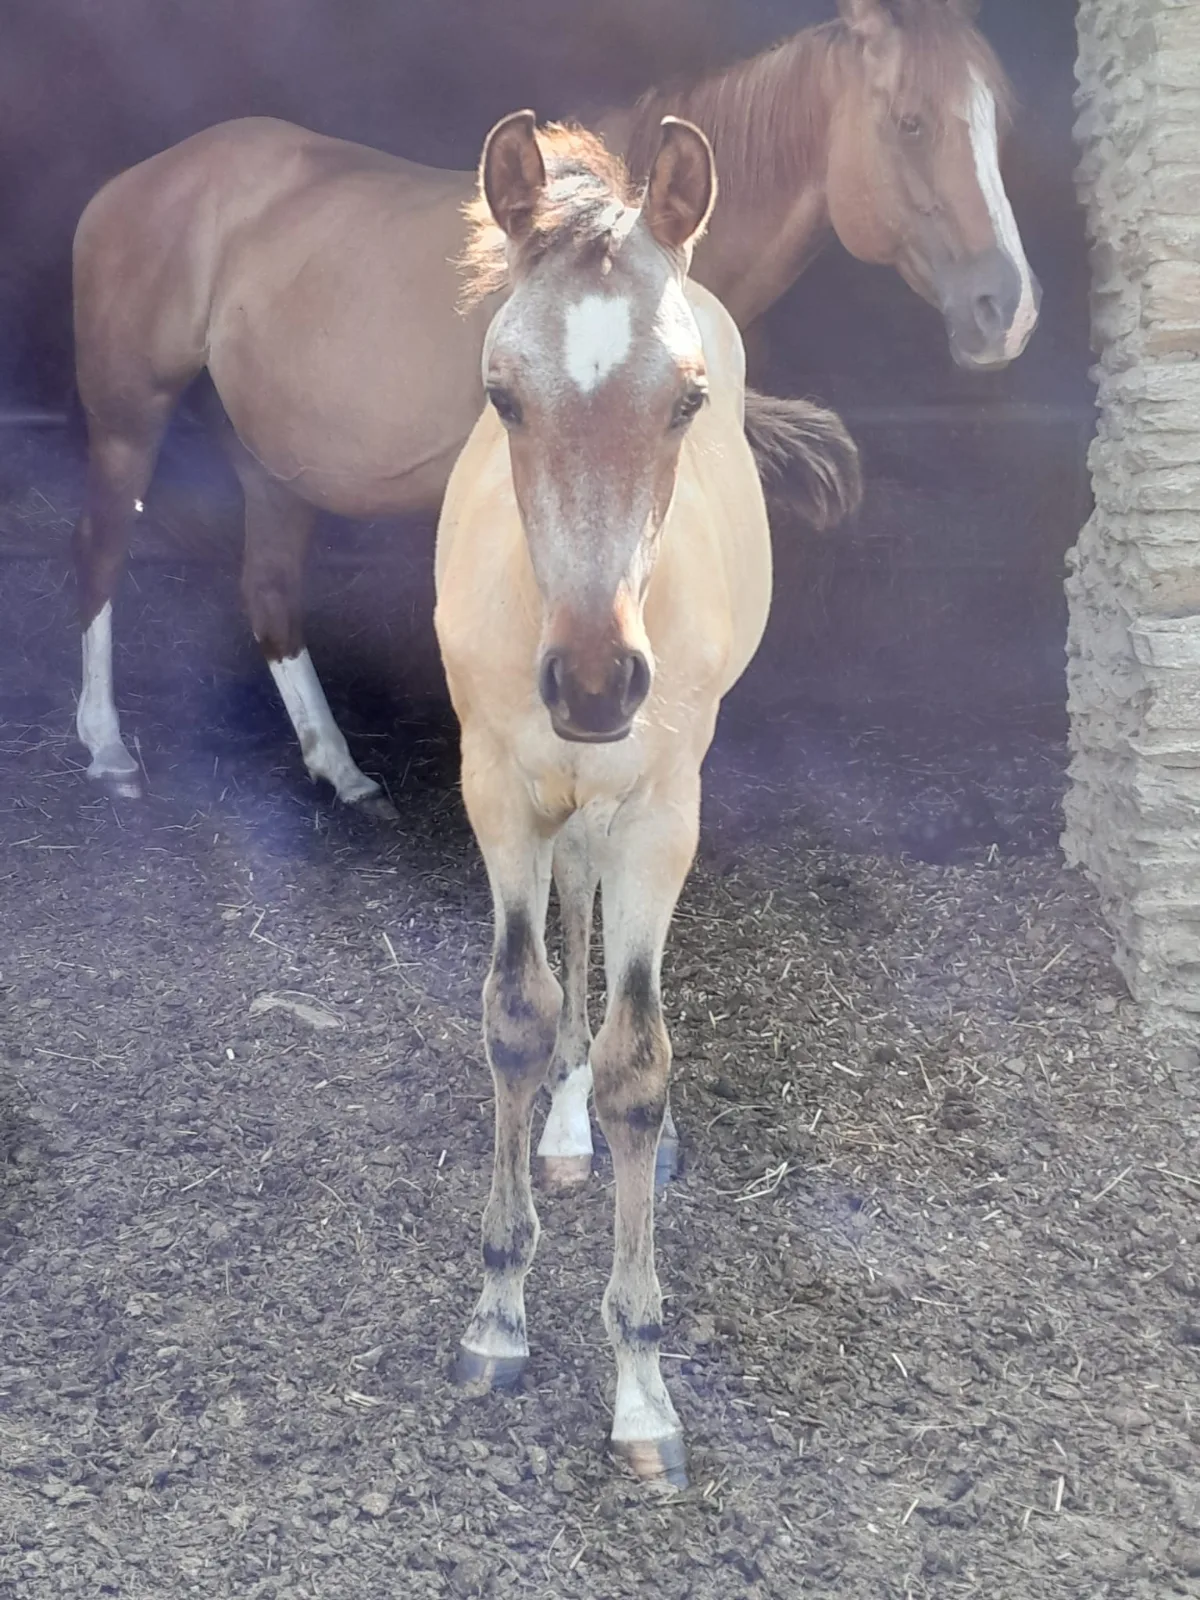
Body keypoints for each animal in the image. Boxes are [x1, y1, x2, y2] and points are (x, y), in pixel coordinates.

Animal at [71, 0, 1032, 815]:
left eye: (1000, 126)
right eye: (911, 121)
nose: (1007, 310)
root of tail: (137, 181)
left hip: (273, 462)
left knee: (269, 597)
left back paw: (341, 770)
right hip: (127, 419)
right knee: (103, 552)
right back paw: (108, 751)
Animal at [435, 107, 831, 1485]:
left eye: (688, 400)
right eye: (501, 393)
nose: (599, 682)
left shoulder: (662, 812)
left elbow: (640, 1066)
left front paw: (643, 1385)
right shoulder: (496, 786)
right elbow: (515, 1010)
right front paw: (497, 1315)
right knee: (570, 908)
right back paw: (556, 1131)